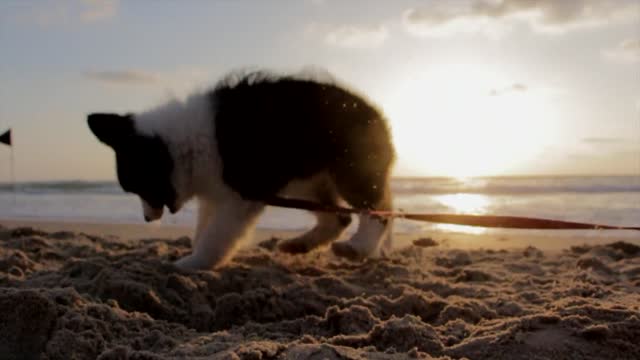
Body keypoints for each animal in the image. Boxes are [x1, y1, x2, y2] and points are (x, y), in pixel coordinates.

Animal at [85, 69, 396, 270]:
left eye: (138, 186)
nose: (147, 219)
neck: (179, 146)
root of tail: (377, 113)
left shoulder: (242, 194)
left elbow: (216, 234)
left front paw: (193, 263)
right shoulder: (216, 192)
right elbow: (204, 228)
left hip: (350, 169)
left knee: (378, 211)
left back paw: (358, 247)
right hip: (308, 181)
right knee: (340, 217)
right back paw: (301, 244)